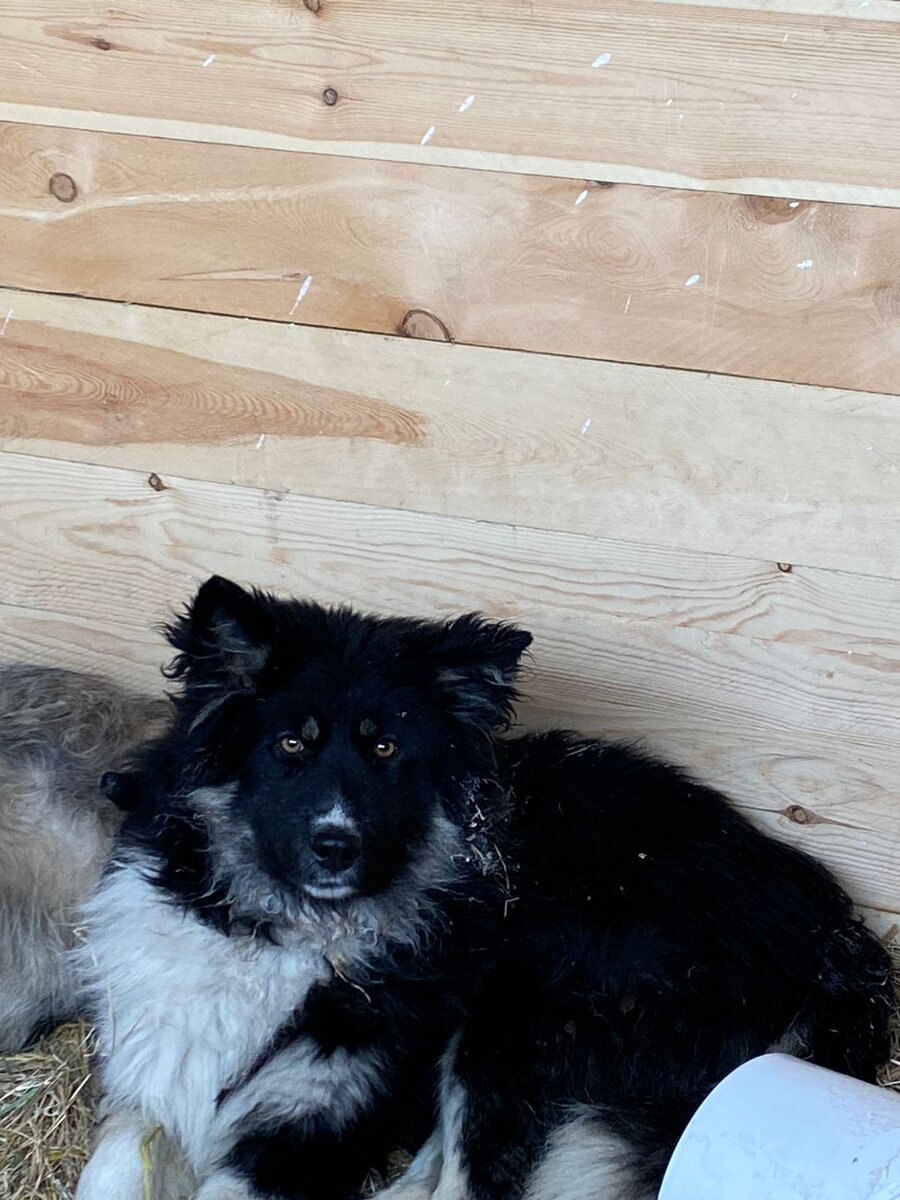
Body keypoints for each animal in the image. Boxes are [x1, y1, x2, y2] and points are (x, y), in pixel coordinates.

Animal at [76, 575, 532, 1200]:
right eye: (292, 744)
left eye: (386, 748)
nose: (337, 847)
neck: (277, 930)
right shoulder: (158, 1076)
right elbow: (112, 1169)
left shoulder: (307, 1125)